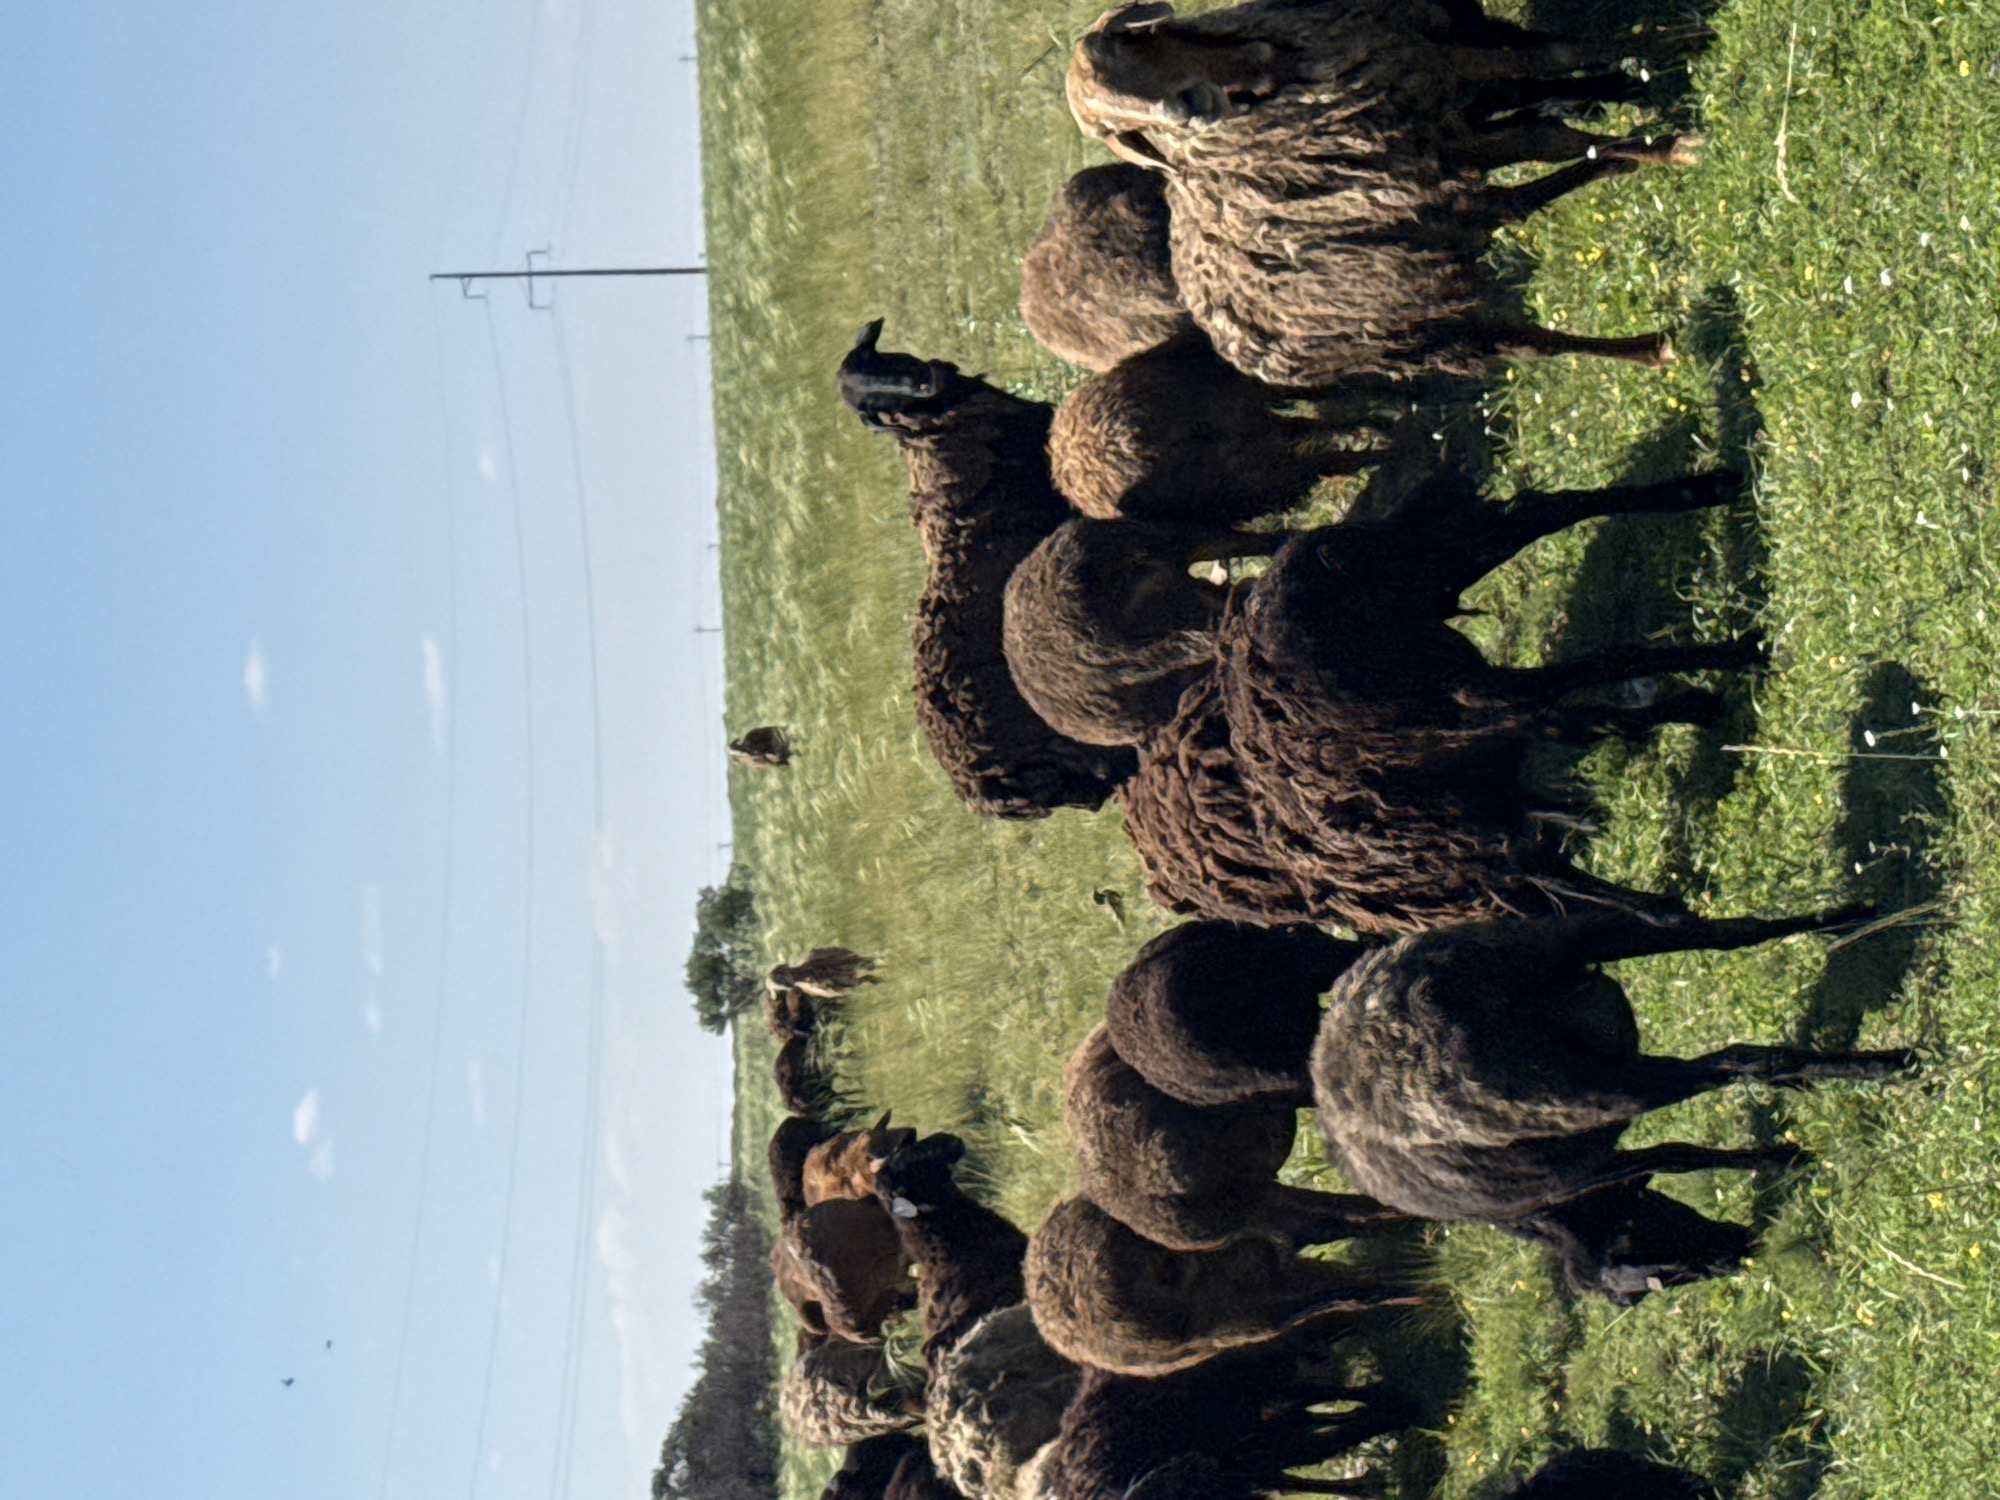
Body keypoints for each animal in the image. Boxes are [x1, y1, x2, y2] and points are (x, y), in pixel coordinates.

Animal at [1308, 907, 1915, 1278]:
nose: (1736, 1256)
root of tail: (1398, 1019)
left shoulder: (1585, 1169)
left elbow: (1675, 1154)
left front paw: (1780, 1154)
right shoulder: (1595, 1162)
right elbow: (1680, 1154)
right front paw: (1775, 1153)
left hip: (1584, 1088)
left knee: (1736, 1060)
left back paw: (1886, 1066)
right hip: (1548, 940)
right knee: (1716, 932)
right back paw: (1851, 917)